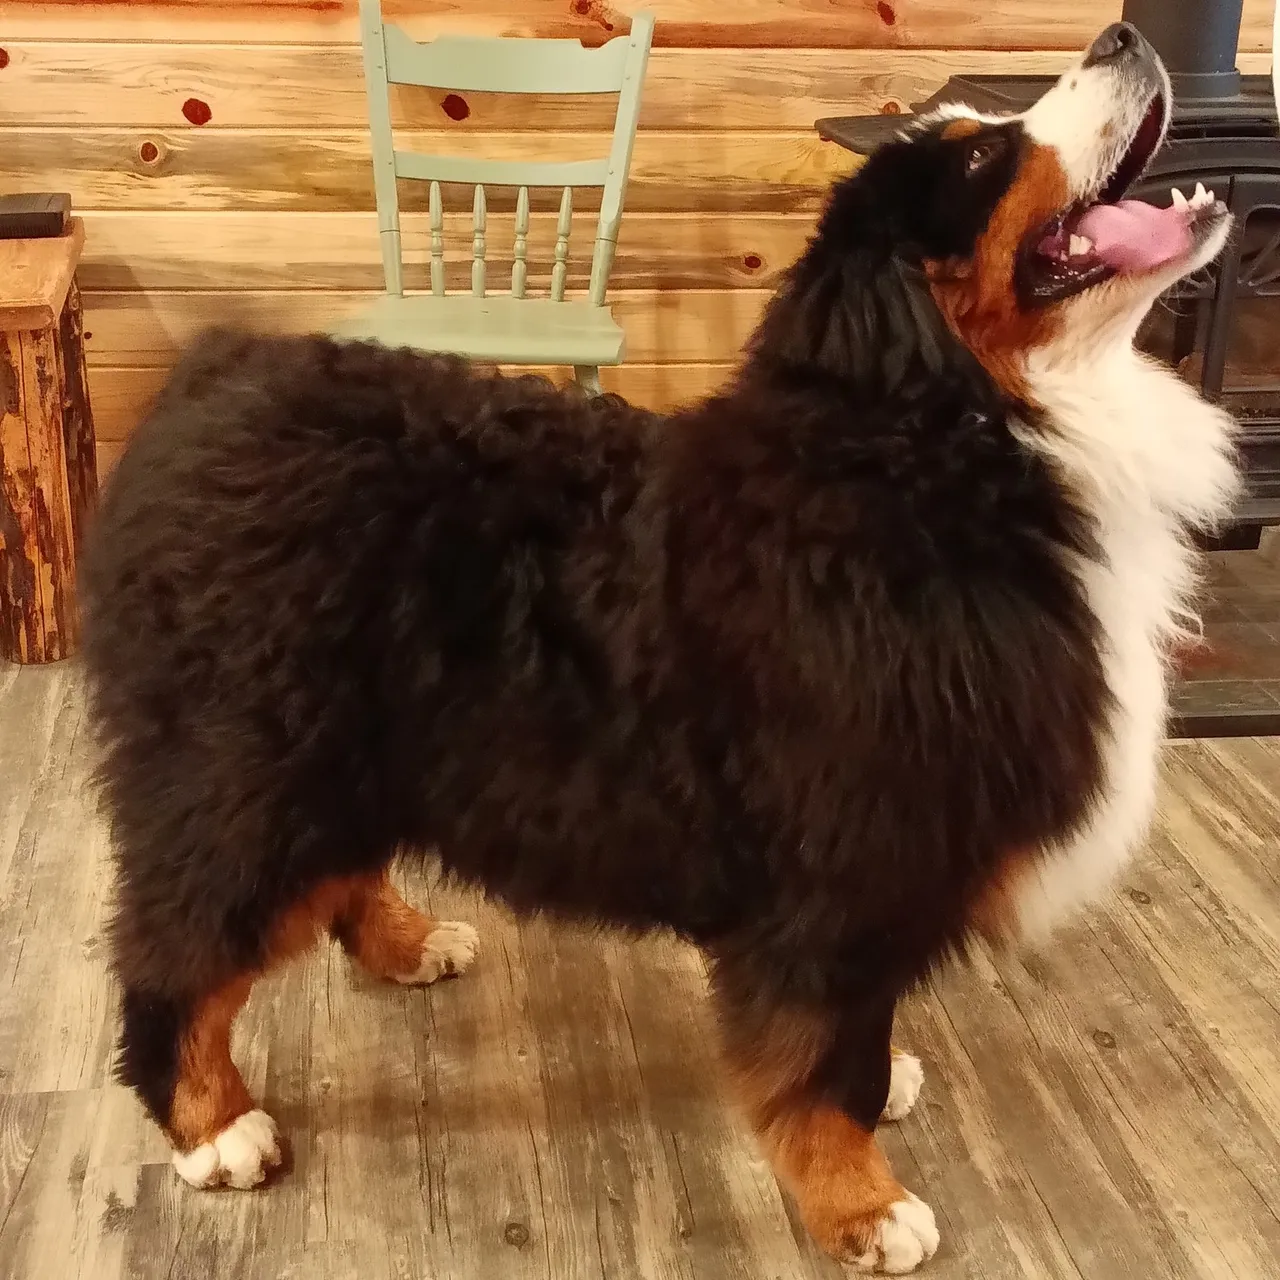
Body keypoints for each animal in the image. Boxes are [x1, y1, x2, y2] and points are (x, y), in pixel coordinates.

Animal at [80, 24, 1239, 1274]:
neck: (950, 447)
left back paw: (405, 941)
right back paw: (210, 1122)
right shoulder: (846, 856)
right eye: (981, 158)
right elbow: (826, 1050)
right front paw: (862, 1199)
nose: (1121, 33)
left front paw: (882, 1092)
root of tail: (201, 383)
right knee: (177, 949)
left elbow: (856, 1026)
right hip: (245, 769)